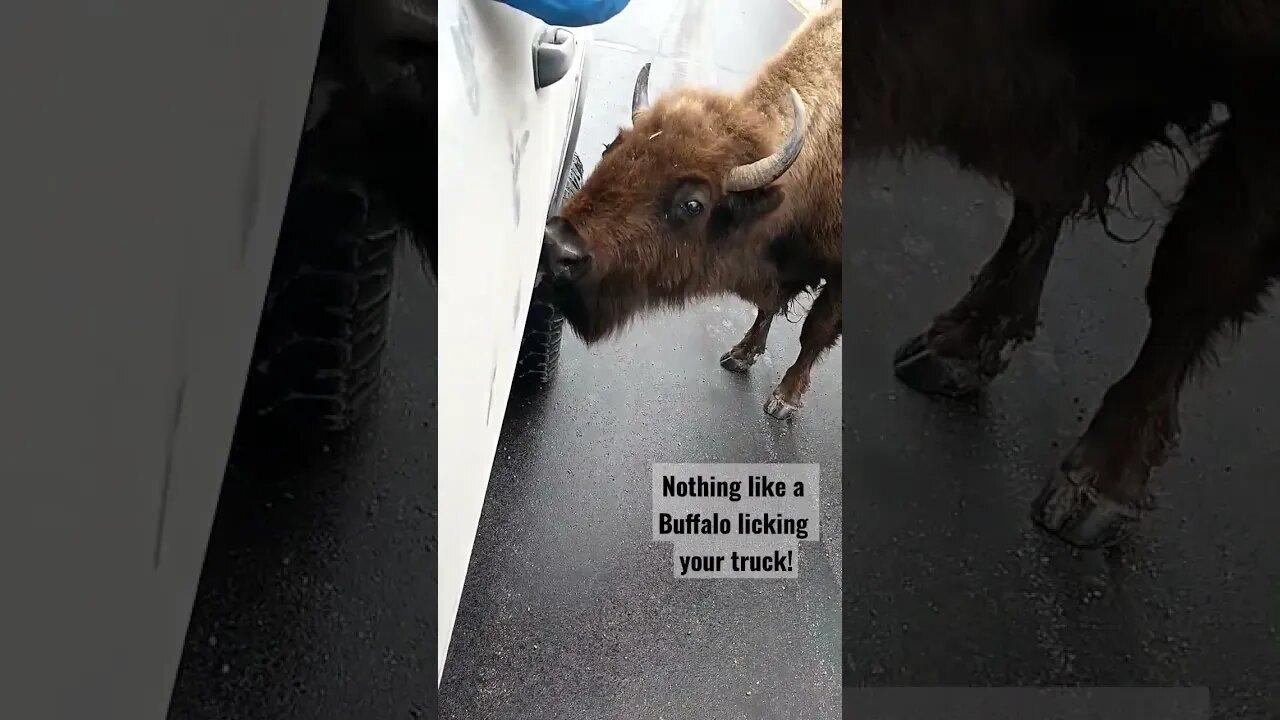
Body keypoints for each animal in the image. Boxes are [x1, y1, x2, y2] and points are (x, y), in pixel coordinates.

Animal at [535, 2, 844, 417]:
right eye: (610, 149)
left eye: (693, 204)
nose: (556, 247)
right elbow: (769, 306)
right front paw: (740, 355)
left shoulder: (838, 279)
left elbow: (814, 332)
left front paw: (783, 400)